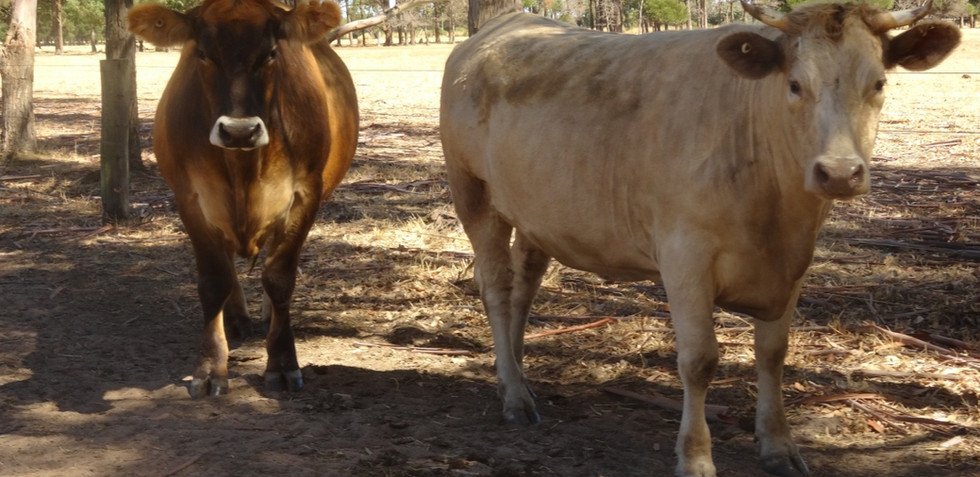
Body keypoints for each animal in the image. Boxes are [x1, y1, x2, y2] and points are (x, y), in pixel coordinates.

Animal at [128, 0, 358, 398]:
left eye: (271, 53)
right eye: (203, 54)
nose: (239, 130)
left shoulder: (306, 194)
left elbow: (279, 277)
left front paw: (282, 362)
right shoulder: (190, 198)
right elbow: (214, 280)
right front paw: (210, 368)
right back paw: (235, 319)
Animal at [439, 1, 958, 476]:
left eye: (879, 83)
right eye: (795, 84)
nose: (839, 172)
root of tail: (503, 24)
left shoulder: (792, 266)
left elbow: (772, 355)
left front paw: (779, 445)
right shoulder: (684, 256)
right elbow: (699, 360)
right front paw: (695, 458)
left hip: (535, 211)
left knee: (524, 288)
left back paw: (517, 374)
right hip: (473, 195)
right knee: (497, 288)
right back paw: (514, 396)